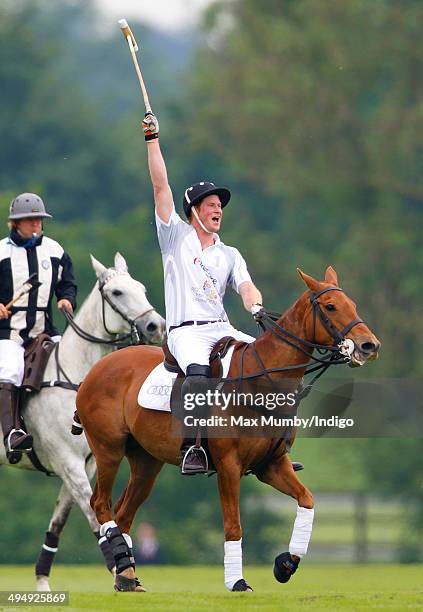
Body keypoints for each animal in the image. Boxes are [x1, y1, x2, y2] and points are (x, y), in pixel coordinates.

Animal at [0, 252, 166, 588]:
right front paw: (122, 573)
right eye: (117, 292)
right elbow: (96, 517)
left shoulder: (83, 465)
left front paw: (42, 583)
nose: (156, 326)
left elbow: (59, 523)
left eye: (141, 288)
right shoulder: (68, 462)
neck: (77, 378)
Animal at [76, 268, 380, 592]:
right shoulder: (229, 465)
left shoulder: (272, 464)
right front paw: (237, 582)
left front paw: (285, 564)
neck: (262, 383)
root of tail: (95, 369)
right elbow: (234, 525)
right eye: (330, 306)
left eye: (353, 304)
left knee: (124, 512)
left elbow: (307, 500)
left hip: (147, 461)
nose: (370, 346)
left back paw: (126, 575)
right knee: (100, 504)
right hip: (108, 449)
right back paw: (124, 570)